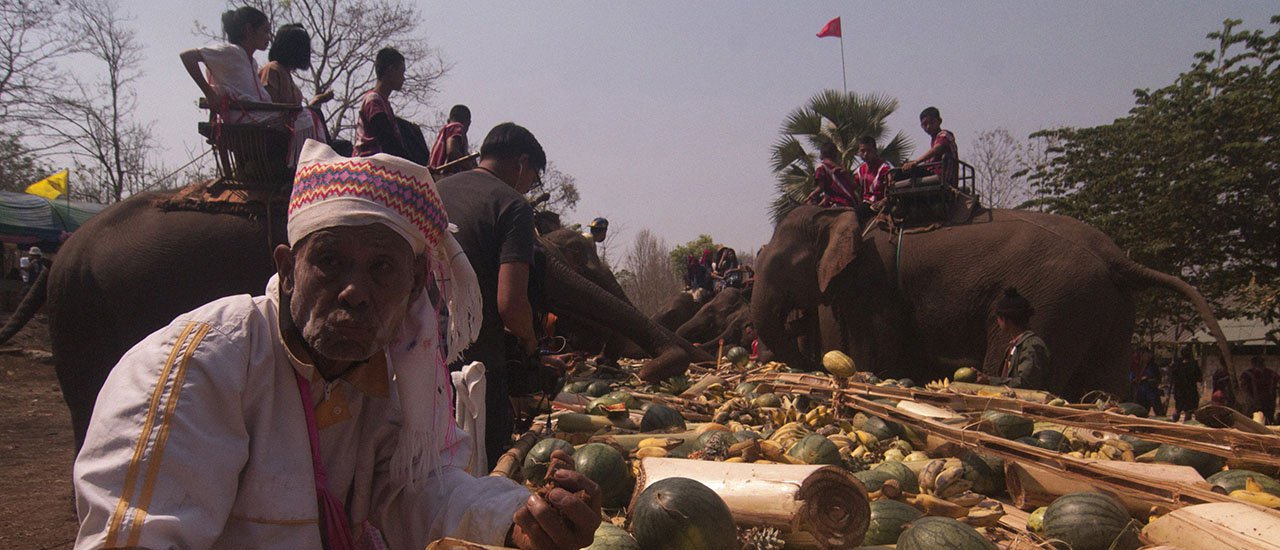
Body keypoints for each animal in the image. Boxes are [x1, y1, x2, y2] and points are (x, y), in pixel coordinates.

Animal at [752, 205, 1233, 399]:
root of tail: (1116, 256)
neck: (846, 211)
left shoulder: (874, 281)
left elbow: (876, 351)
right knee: (1105, 377)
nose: (805, 367)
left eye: (780, 262)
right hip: (1109, 310)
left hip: (1056, 299)